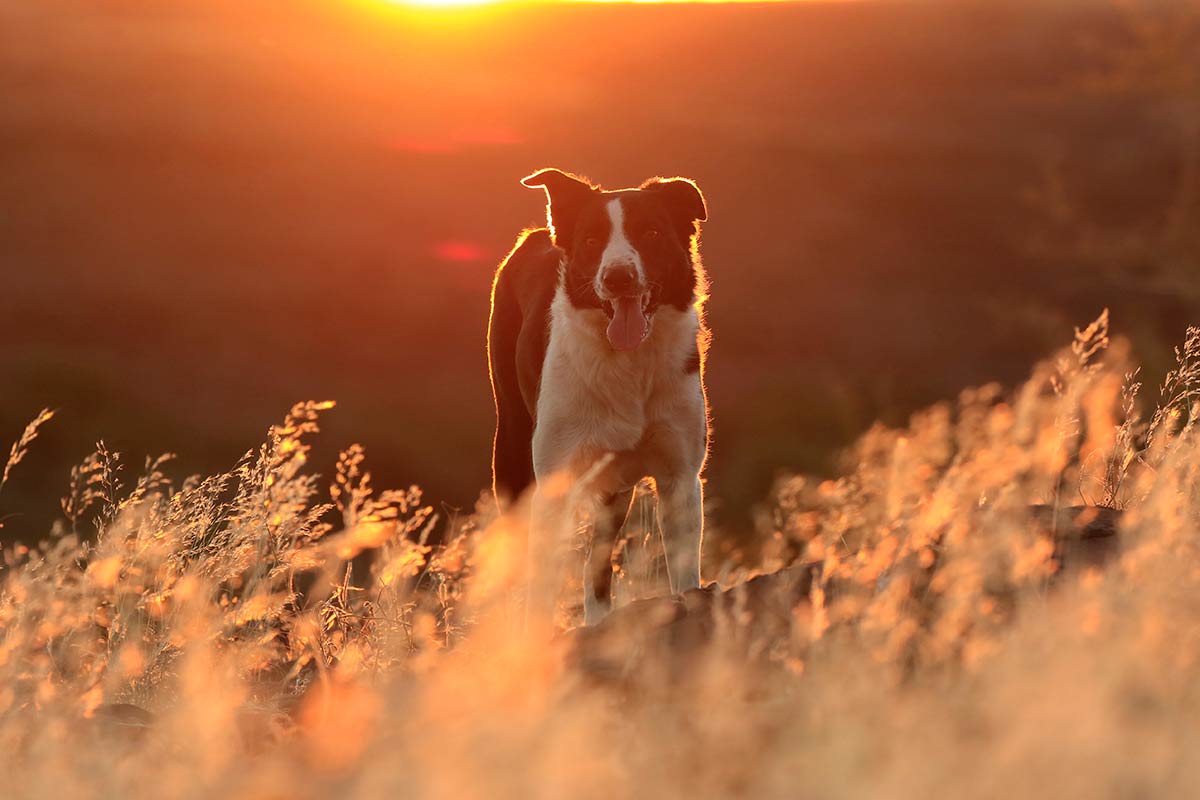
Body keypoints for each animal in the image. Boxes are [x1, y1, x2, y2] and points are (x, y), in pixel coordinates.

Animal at [489, 165, 710, 623]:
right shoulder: (553, 482)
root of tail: (537, 235)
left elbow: (683, 573)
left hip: (614, 487)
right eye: (591, 240)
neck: (628, 365)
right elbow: (541, 589)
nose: (617, 277)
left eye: (651, 232)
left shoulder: (680, 476)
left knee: (598, 559)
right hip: (511, 448)